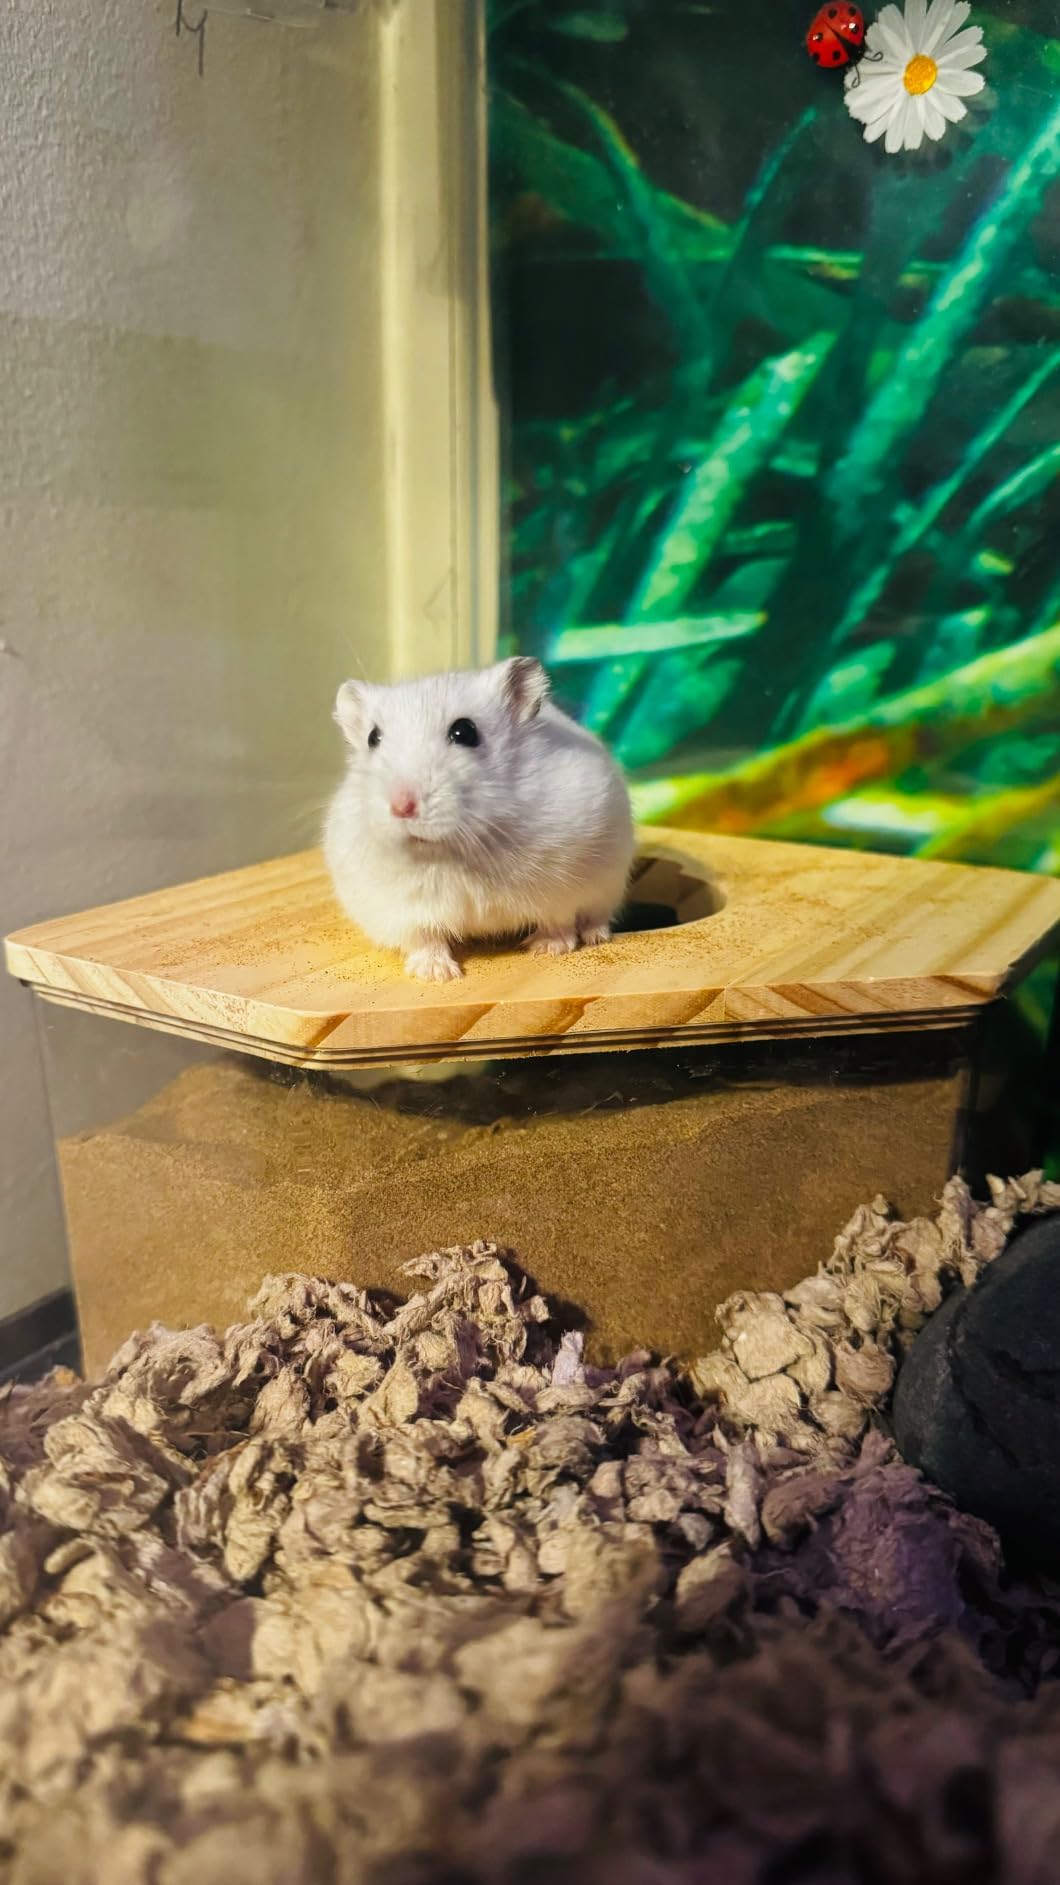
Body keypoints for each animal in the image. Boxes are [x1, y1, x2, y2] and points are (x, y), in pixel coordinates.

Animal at [323, 657, 635, 982]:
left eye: (465, 732)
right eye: (373, 738)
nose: (401, 806)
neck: (450, 850)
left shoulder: (566, 887)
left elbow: (558, 920)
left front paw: (548, 949)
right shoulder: (397, 911)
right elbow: (424, 938)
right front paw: (437, 975)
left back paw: (595, 936)